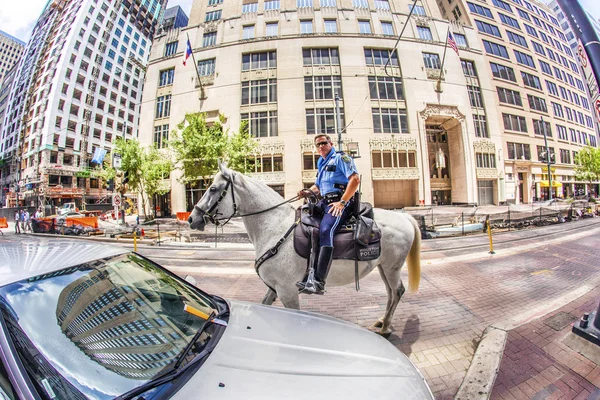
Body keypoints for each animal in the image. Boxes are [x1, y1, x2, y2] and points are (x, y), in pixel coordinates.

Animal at [189, 162, 422, 334]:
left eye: (213, 188)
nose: (192, 218)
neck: (274, 226)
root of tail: (404, 216)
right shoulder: (274, 288)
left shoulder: (287, 291)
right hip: (383, 267)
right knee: (391, 292)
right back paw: (383, 321)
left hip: (392, 267)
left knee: (397, 291)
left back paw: (385, 327)